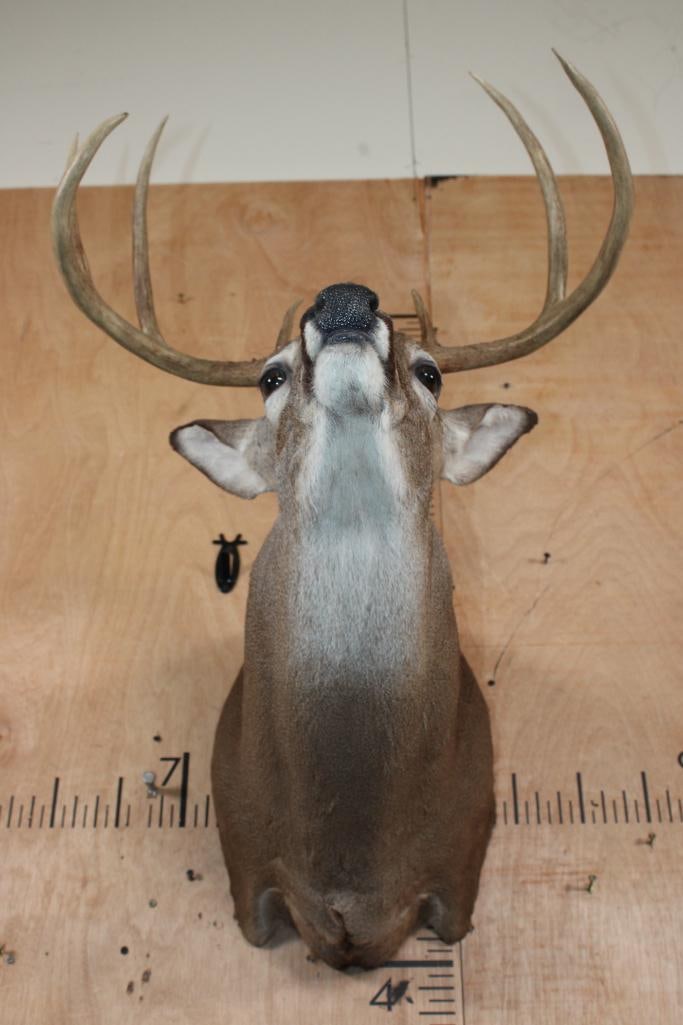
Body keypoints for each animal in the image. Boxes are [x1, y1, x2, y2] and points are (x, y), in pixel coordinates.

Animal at [52, 55, 632, 970]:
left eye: (430, 370)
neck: (350, 847)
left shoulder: (460, 863)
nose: (347, 301)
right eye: (269, 374)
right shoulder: (247, 869)